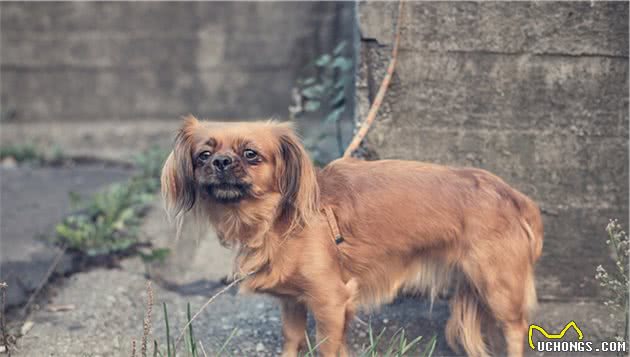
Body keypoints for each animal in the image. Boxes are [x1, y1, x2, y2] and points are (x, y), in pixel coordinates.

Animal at [162, 115, 544, 354]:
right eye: (203, 155)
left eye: (251, 154)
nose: (221, 162)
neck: (276, 220)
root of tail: (511, 195)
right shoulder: (293, 302)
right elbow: (292, 341)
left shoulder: (330, 302)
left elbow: (326, 348)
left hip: (497, 286)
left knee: (514, 331)